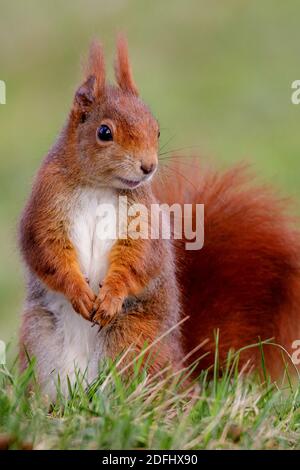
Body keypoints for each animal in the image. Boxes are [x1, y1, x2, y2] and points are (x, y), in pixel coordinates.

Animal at [19, 38, 300, 396]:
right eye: (104, 132)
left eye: (157, 130)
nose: (148, 166)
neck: (99, 187)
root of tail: (184, 370)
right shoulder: (46, 206)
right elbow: (48, 250)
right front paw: (79, 291)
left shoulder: (143, 224)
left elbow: (138, 258)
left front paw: (110, 297)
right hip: (41, 341)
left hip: (133, 340)